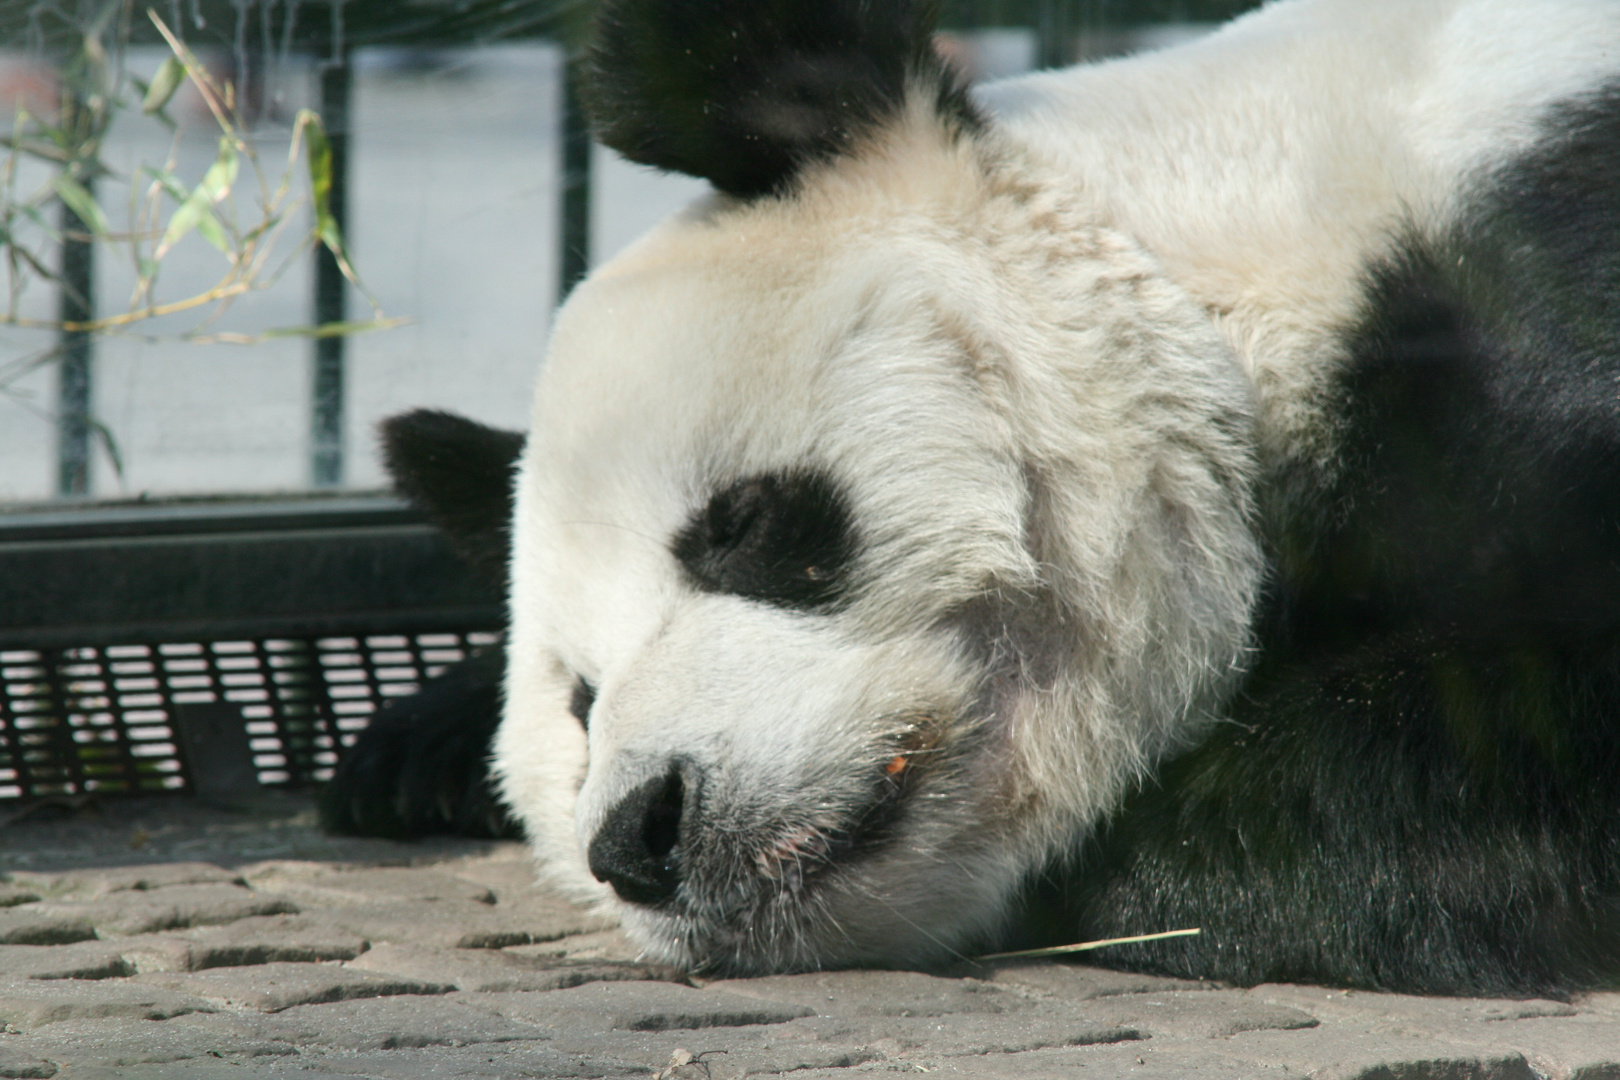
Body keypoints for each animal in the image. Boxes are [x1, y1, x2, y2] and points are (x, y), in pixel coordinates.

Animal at [322, 0, 1620, 997]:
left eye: (742, 525)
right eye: (581, 699)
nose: (645, 834)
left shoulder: (1507, 277)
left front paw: (1143, 860)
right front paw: (405, 750)